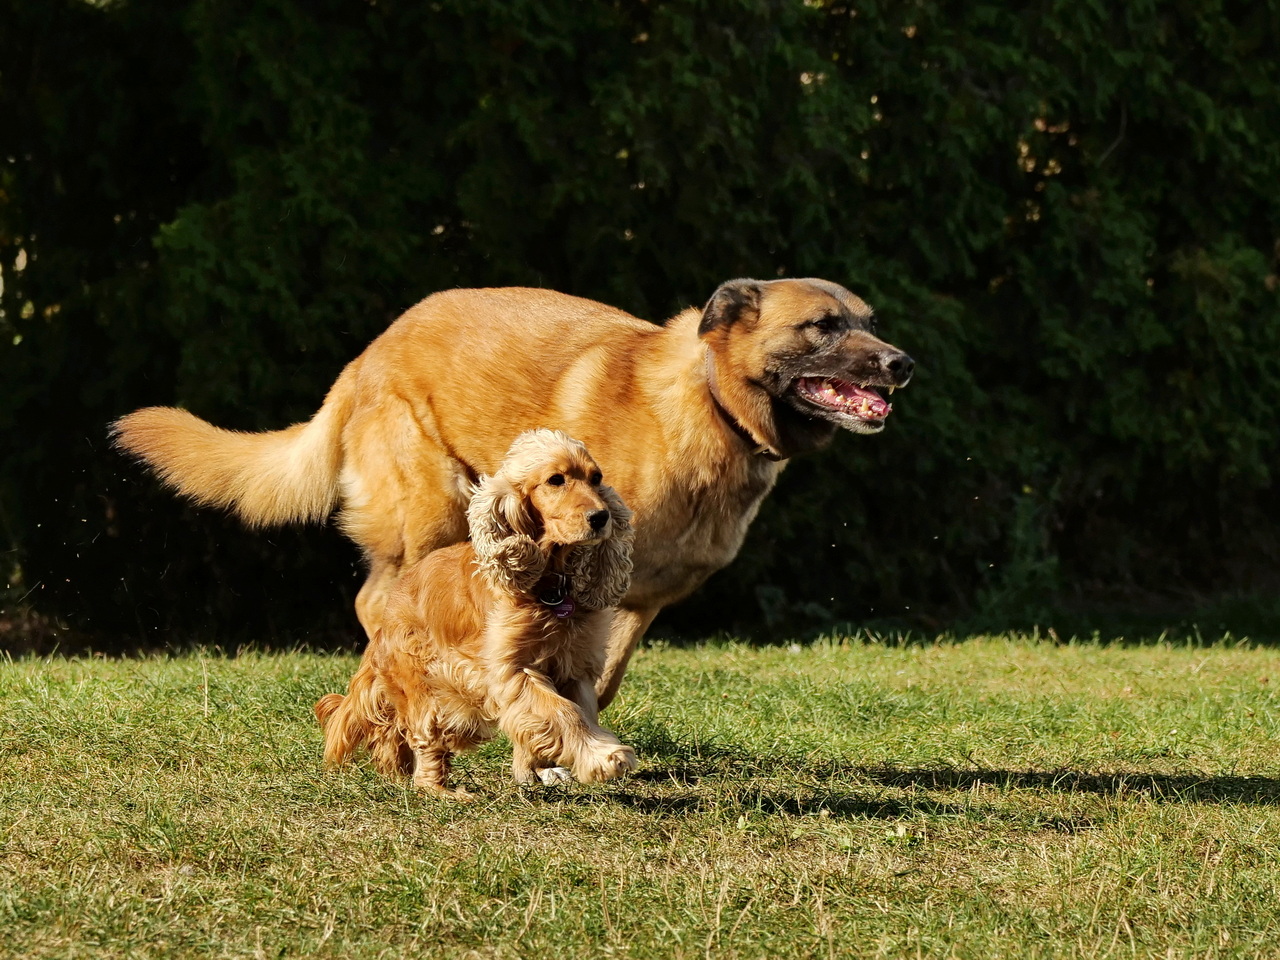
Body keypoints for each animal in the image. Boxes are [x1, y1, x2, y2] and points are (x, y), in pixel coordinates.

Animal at [110, 277, 911, 706]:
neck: (710, 404)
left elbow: (602, 679)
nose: (902, 363)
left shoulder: (637, 601)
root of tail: (368, 354)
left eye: (870, 323)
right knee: (379, 604)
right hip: (432, 514)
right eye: (823, 326)